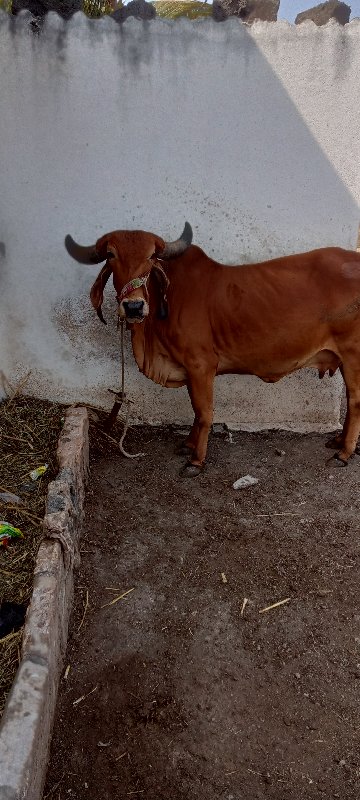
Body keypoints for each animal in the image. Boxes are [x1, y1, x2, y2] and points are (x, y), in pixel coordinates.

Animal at [65, 222, 360, 476]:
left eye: (151, 257)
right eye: (111, 255)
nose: (134, 307)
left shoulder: (200, 365)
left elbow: (203, 412)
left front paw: (196, 459)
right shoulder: (189, 369)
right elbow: (196, 412)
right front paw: (187, 444)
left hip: (352, 355)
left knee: (355, 401)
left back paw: (344, 453)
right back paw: (339, 442)